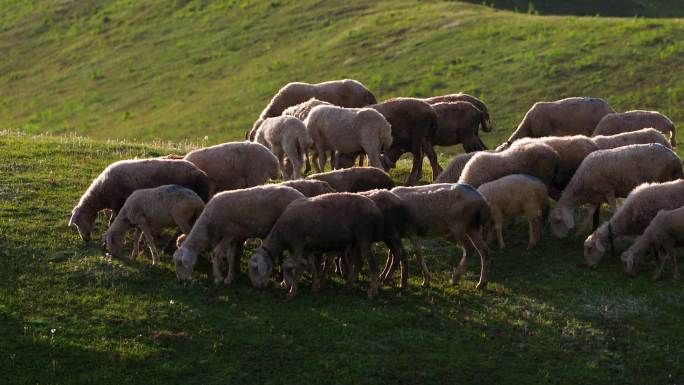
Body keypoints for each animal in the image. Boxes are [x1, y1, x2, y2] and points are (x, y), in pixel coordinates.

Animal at [69, 158, 210, 242]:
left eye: (78, 222)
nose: (85, 239)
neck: (101, 194)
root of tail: (201, 173)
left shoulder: (118, 203)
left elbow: (112, 220)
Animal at [172, 184, 304, 284]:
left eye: (180, 263)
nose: (181, 280)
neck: (207, 223)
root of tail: (301, 195)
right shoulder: (232, 237)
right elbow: (230, 256)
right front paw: (229, 277)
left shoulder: (229, 234)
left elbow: (216, 253)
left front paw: (218, 277)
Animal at [248, 194, 384, 298]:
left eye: (255, 269)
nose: (256, 287)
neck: (280, 235)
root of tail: (375, 208)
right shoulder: (307, 248)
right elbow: (311, 265)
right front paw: (314, 287)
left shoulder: (298, 245)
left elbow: (295, 267)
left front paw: (292, 291)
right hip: (355, 241)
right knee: (359, 263)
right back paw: (347, 288)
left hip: (364, 235)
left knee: (372, 263)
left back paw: (372, 292)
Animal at [548, 144, 680, 238]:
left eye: (557, 221)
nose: (559, 238)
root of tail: (675, 157)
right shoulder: (597, 197)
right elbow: (589, 214)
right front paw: (579, 232)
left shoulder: (609, 191)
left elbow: (615, 210)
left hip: (664, 180)